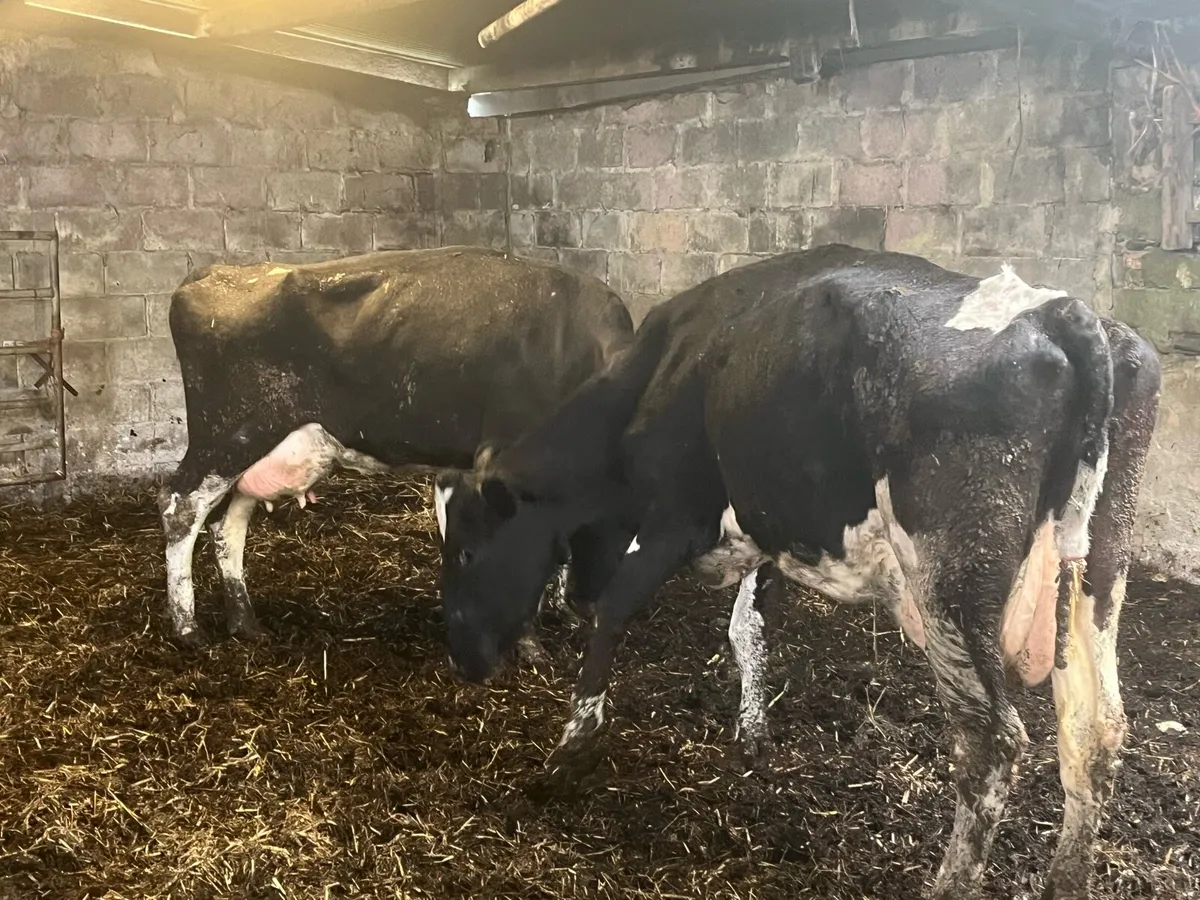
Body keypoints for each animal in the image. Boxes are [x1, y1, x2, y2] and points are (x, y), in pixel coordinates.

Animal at [158, 246, 636, 650]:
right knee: (181, 508)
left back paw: (244, 622)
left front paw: (557, 613)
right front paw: (527, 641)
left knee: (227, 526)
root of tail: (216, 273)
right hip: (226, 438)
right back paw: (188, 628)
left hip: (260, 450)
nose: (596, 610)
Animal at [434, 244, 1161, 900]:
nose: (459, 654)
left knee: (991, 741)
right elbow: (747, 632)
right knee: (1096, 727)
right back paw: (1067, 881)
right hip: (1097, 569)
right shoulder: (767, 533)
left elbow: (613, 612)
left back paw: (951, 883)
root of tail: (1059, 311)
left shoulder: (675, 514)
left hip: (950, 582)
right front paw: (752, 734)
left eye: (466, 551)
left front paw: (569, 749)